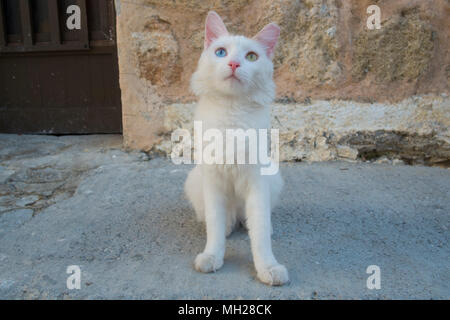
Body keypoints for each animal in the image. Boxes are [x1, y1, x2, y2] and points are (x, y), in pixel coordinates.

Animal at [183, 10, 288, 284]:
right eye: (221, 52)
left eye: (251, 57)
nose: (233, 64)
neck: (232, 112)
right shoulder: (213, 181)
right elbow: (215, 227)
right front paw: (212, 256)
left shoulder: (257, 181)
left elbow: (259, 233)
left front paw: (268, 268)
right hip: (195, 180)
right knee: (222, 217)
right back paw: (230, 225)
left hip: (273, 177)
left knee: (253, 220)